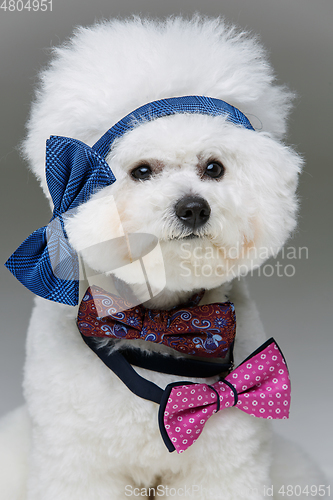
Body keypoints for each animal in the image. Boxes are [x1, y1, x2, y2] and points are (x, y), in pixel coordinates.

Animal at [0, 14, 324, 500]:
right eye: (142, 171)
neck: (160, 322)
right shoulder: (78, 460)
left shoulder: (223, 464)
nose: (193, 207)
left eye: (214, 168)